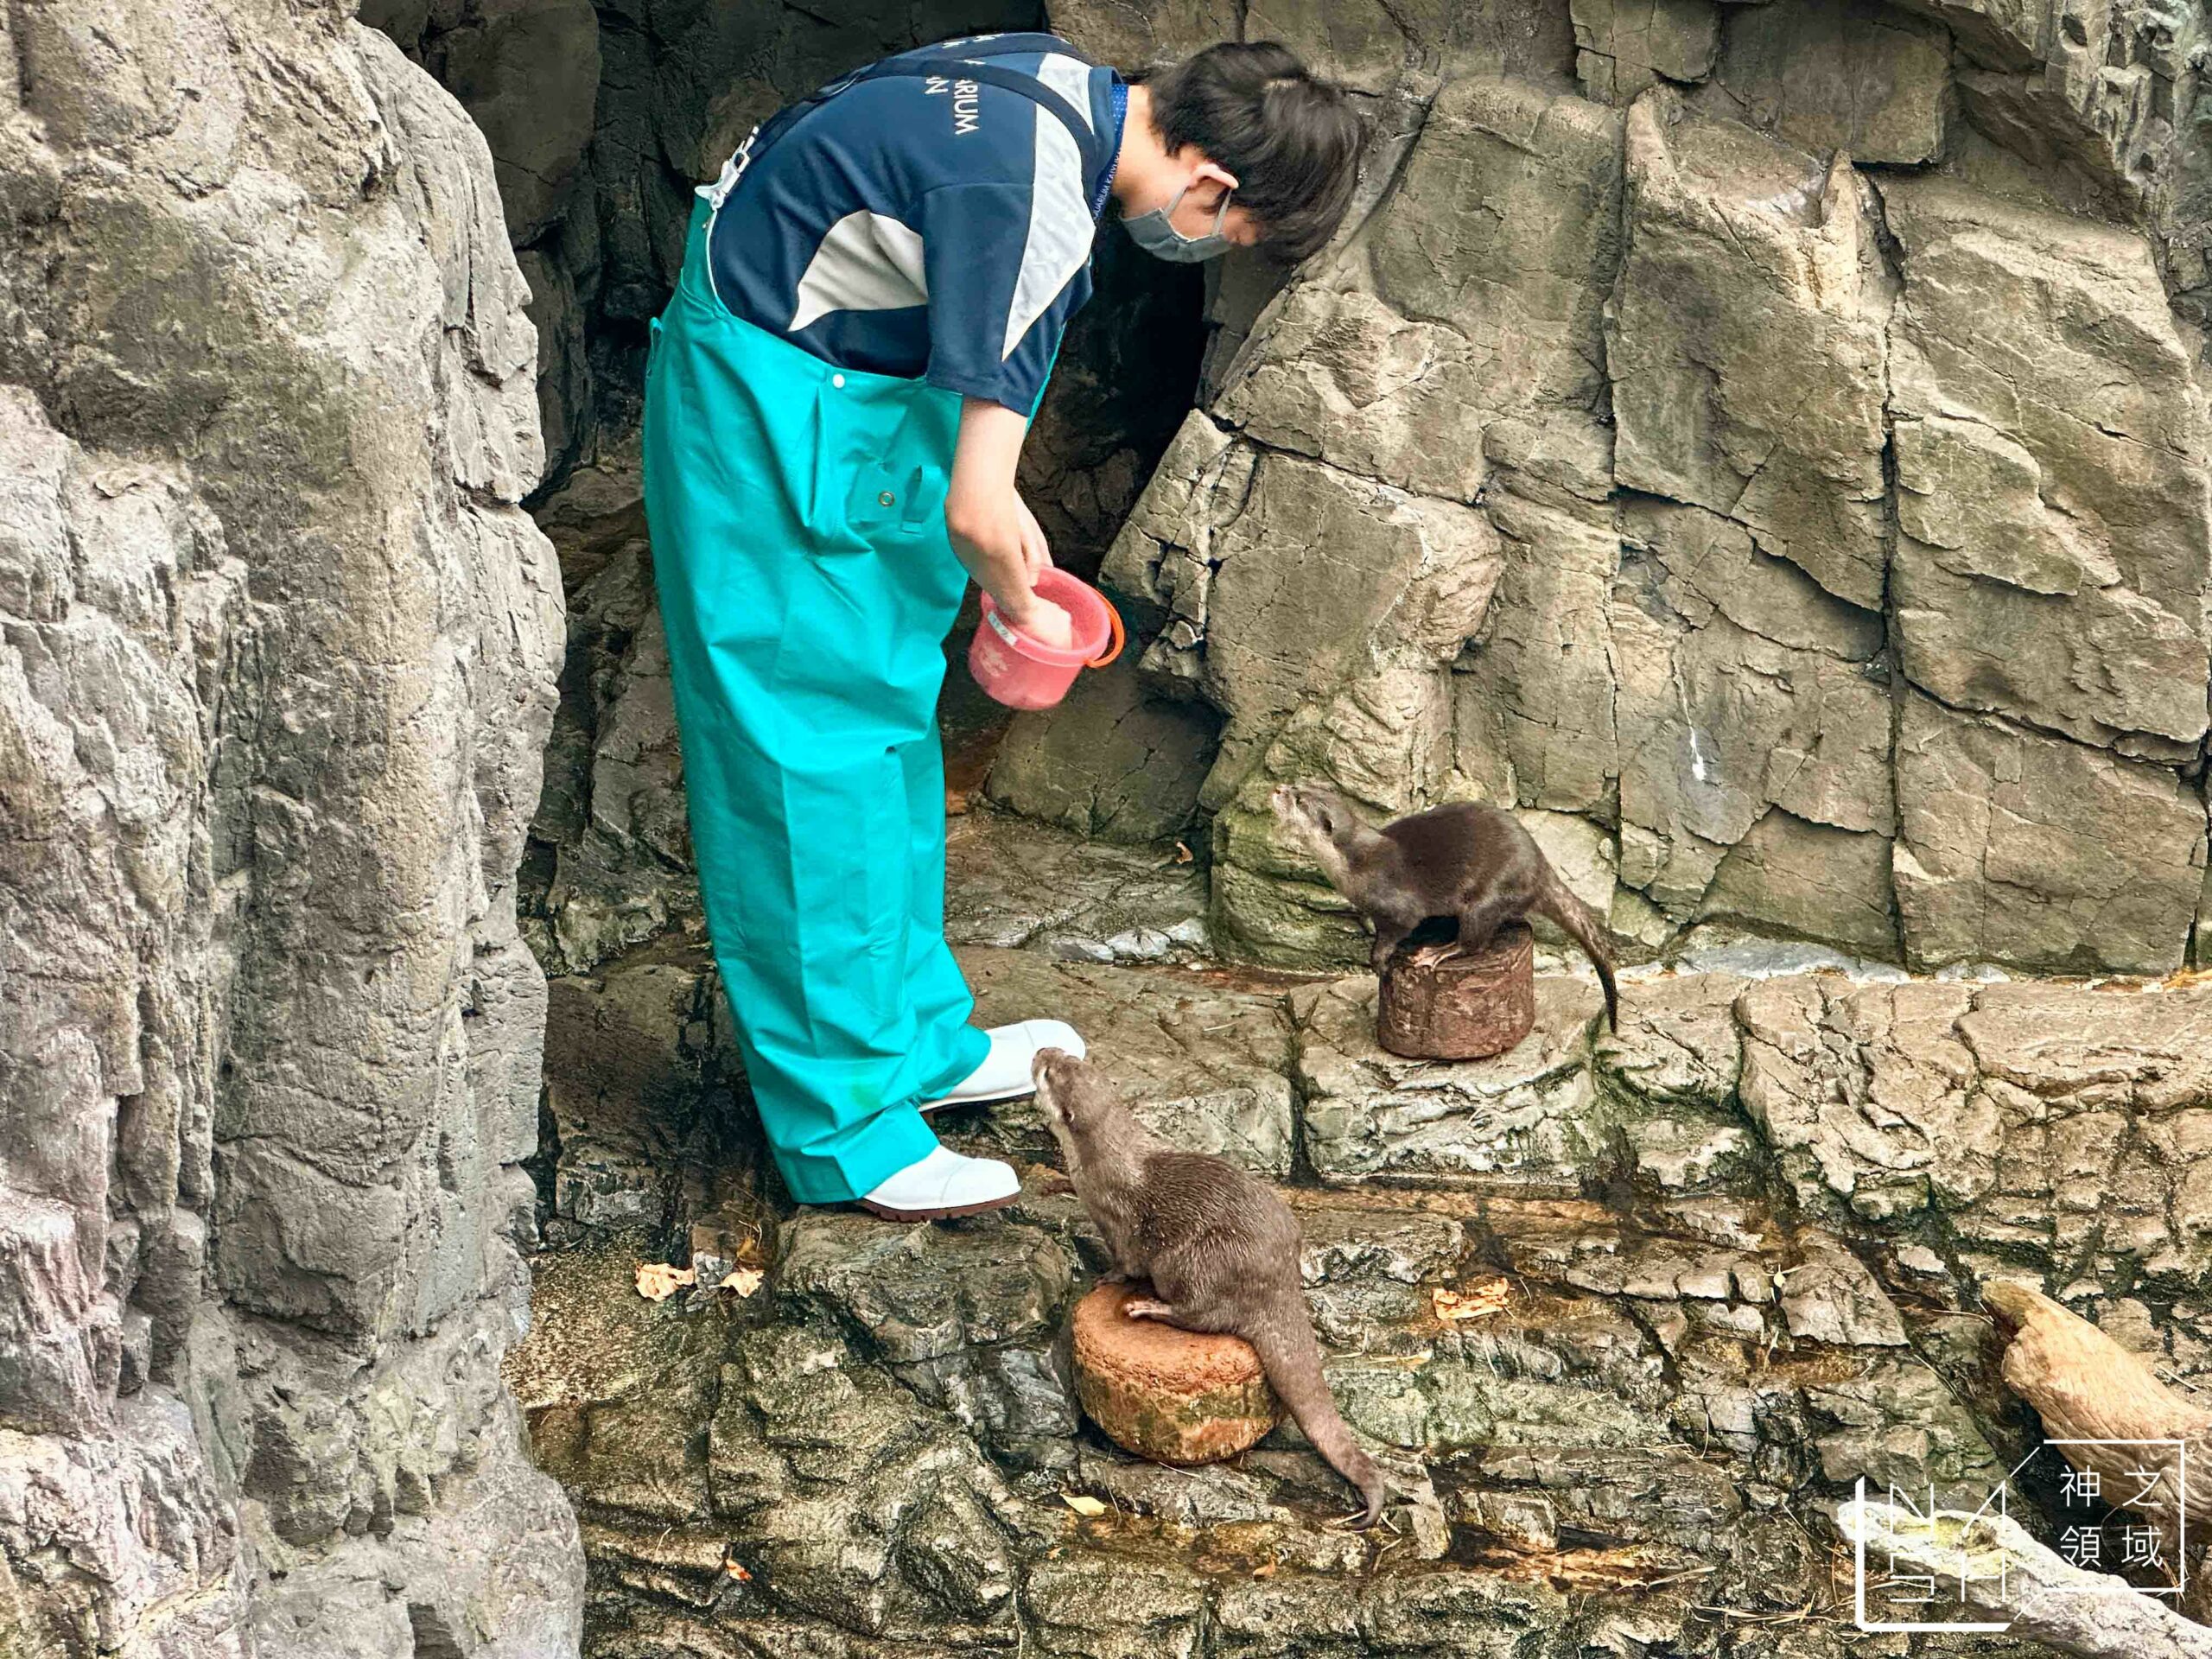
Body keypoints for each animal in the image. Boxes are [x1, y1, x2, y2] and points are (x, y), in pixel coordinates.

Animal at [1030, 1052, 1380, 1530]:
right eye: (1069, 1058)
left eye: (1049, 1074)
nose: (1041, 1052)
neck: (1101, 1162)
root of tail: (1279, 1279)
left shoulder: (1118, 1221)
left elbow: (1126, 1262)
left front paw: (1107, 1277)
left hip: (1192, 1261)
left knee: (1202, 1314)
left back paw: (1147, 1307)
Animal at [1274, 787, 1618, 1035]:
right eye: (1299, 785)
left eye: (1299, 800)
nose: (1278, 788)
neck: (1356, 865)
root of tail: (1539, 868)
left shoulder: (1397, 906)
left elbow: (1395, 932)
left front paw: (1379, 961)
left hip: (1487, 896)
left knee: (1475, 940)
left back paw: (1437, 952)